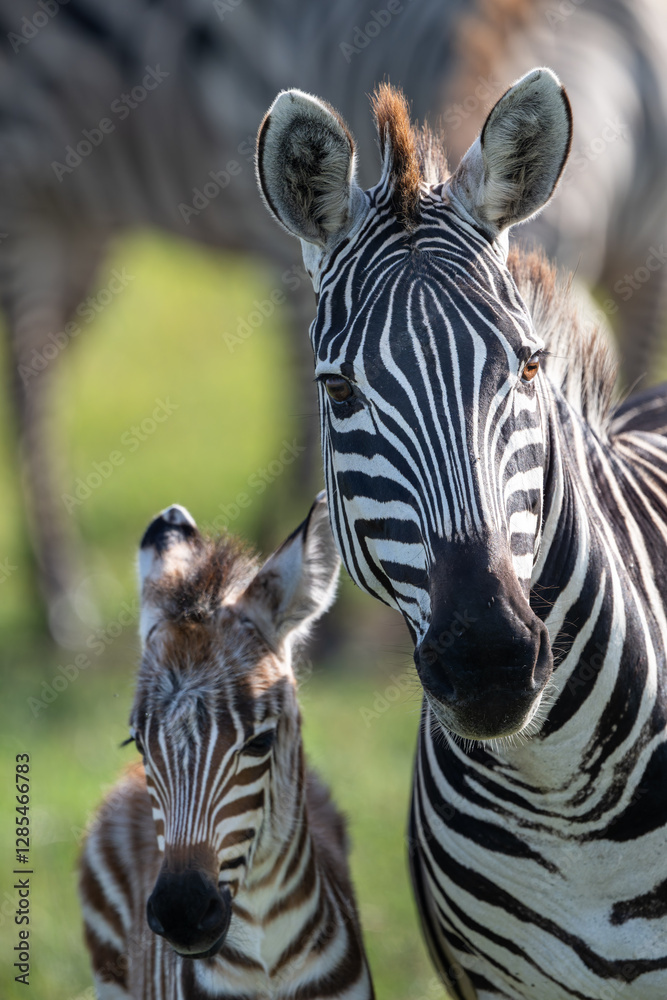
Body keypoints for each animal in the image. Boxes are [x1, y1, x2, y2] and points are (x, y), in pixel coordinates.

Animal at [3, 0, 667, 642]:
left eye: (532, 367)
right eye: (340, 389)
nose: (486, 645)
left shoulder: (649, 276)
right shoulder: (280, 247)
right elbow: (301, 417)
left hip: (80, 223)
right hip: (27, 192)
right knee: (30, 377)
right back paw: (62, 599)